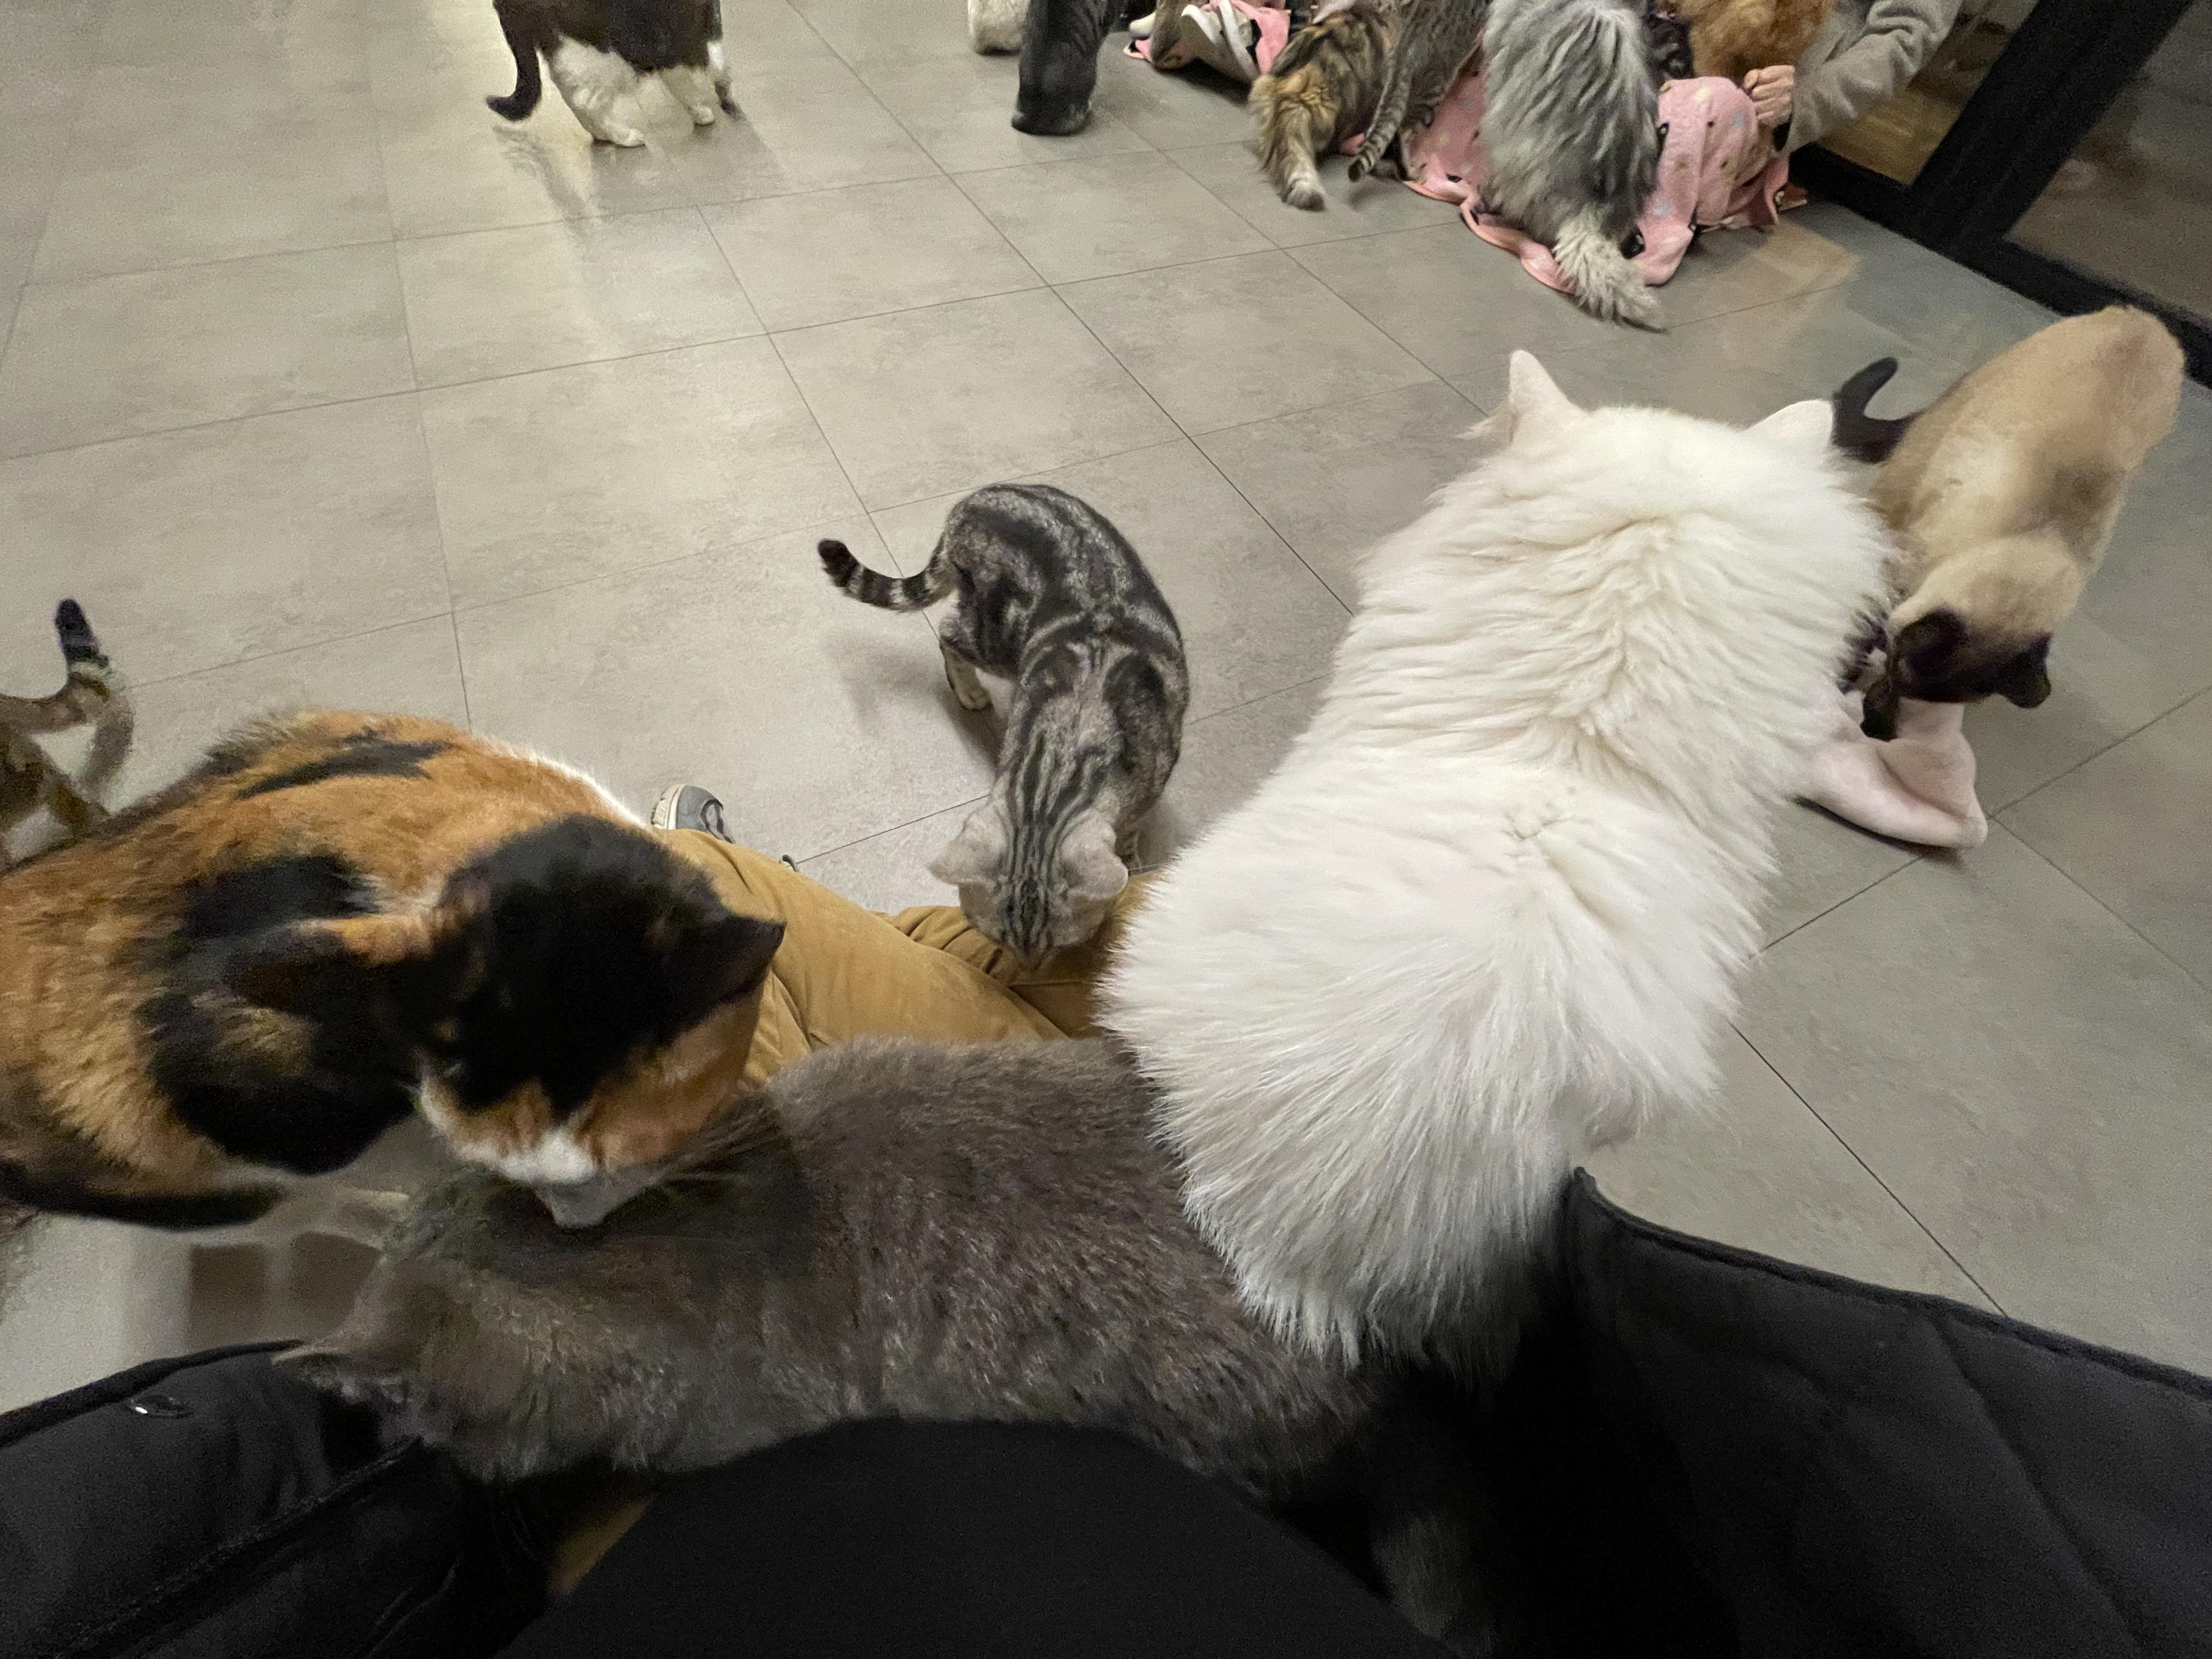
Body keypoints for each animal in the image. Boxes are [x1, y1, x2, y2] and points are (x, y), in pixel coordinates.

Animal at [487, 0, 736, 147]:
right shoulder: (672, 32)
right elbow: (704, 65)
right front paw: (709, 105)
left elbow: (712, 58)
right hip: (610, 53)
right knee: (586, 101)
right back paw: (624, 137)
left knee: (567, 89)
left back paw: (602, 134)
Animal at [817, 484, 1188, 963]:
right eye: (998, 939)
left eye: (1059, 943)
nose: (1028, 969)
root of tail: (967, 505)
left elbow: (1130, 831)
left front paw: (1131, 860)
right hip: (995, 638)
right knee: (947, 633)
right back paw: (969, 690)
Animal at [1830, 308, 2184, 732]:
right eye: (1894, 664)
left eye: (1901, 679)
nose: (1868, 721)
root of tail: (2144, 318)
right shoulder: (1895, 576)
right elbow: (1859, 637)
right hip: (1914, 471)